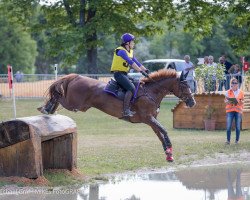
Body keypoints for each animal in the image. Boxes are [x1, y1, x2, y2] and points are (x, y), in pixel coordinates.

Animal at [38, 69, 196, 161]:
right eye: (184, 85)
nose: (192, 102)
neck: (151, 92)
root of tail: (76, 77)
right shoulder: (148, 118)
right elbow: (164, 130)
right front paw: (169, 148)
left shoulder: (151, 120)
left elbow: (160, 134)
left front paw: (168, 153)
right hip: (75, 104)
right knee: (58, 96)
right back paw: (47, 108)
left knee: (57, 95)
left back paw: (49, 110)